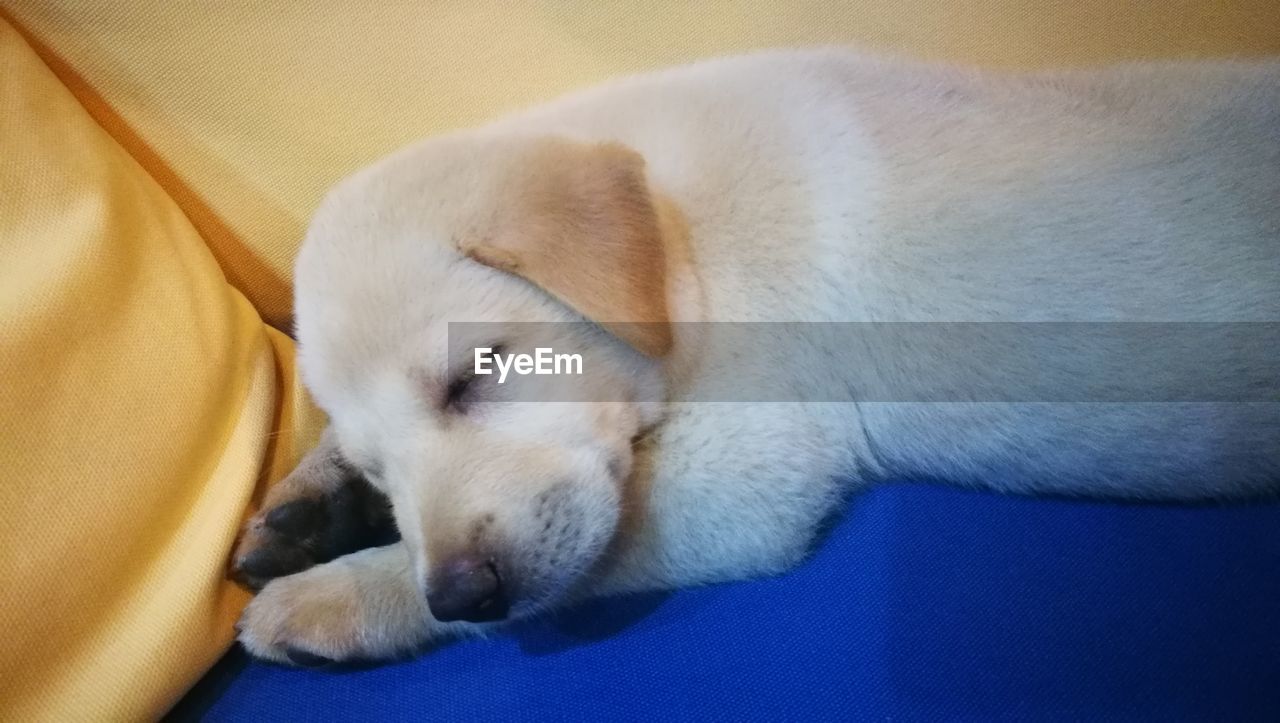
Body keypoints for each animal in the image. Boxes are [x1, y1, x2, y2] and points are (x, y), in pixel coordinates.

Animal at [232, 49, 1280, 665]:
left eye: (473, 375)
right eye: (378, 467)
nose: (460, 592)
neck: (678, 240)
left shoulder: (750, 475)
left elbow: (583, 565)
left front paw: (327, 598)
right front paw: (308, 503)